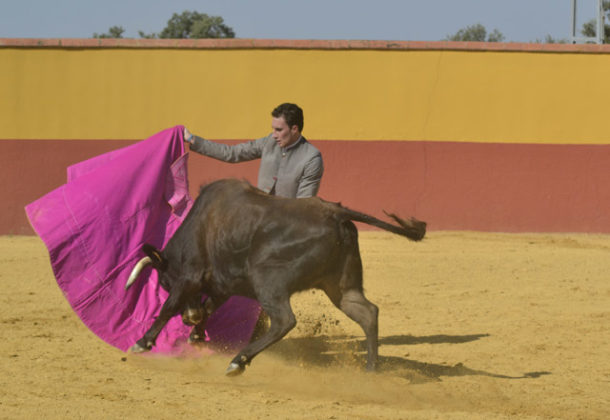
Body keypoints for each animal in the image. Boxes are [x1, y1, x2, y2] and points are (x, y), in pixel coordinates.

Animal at [126, 179, 426, 376]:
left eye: (165, 283)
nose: (190, 318)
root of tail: (335, 211)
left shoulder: (190, 278)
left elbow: (169, 307)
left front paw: (141, 343)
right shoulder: (223, 285)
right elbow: (209, 306)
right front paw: (195, 334)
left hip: (267, 279)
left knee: (284, 320)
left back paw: (238, 361)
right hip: (340, 286)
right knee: (368, 313)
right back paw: (370, 370)